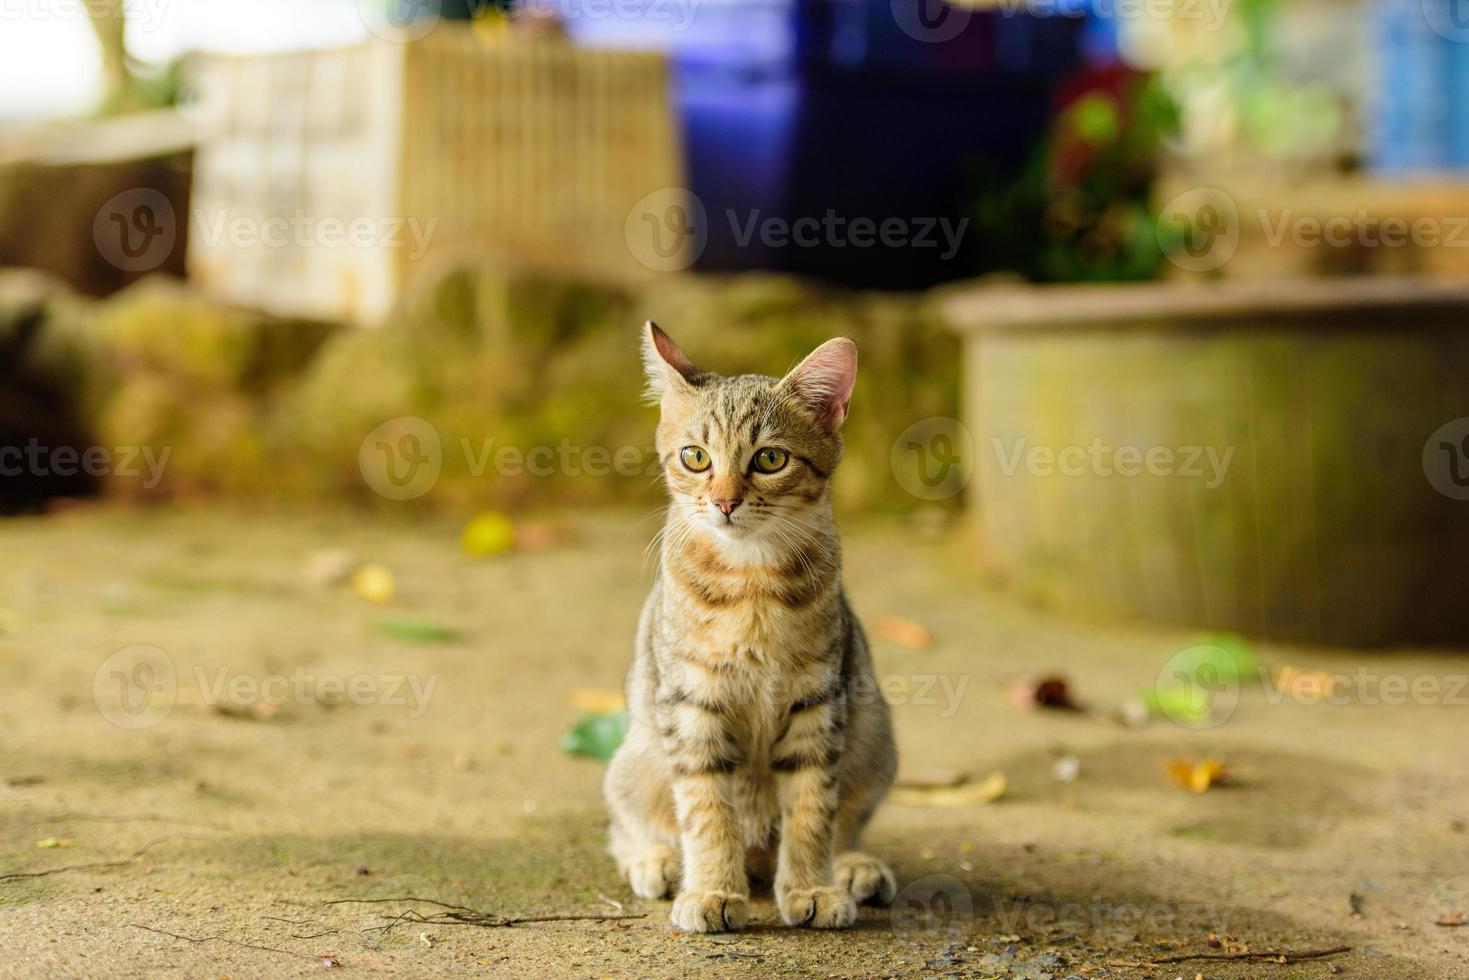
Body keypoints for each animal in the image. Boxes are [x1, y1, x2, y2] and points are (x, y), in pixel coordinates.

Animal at [602, 323, 899, 934]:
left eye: (769, 458)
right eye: (695, 457)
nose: (724, 502)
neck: (752, 584)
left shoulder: (819, 702)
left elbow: (812, 808)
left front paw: (811, 887)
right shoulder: (691, 704)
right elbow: (707, 809)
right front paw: (713, 889)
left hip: (874, 738)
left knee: (846, 819)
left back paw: (853, 866)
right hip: (635, 756)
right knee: (623, 826)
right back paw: (657, 860)